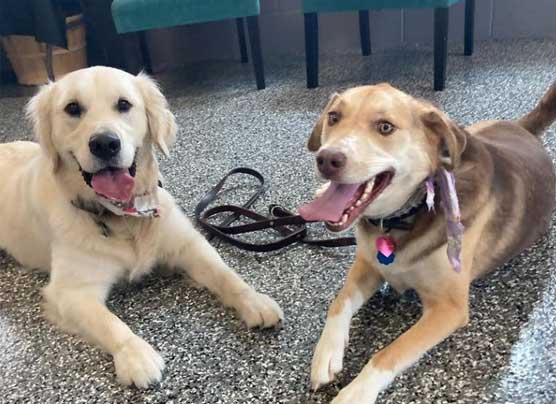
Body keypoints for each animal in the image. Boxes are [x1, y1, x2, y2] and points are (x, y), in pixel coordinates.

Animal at [300, 83, 556, 402]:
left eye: (385, 127)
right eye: (333, 117)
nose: (326, 159)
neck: (406, 213)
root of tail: (523, 129)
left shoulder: (449, 307)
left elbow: (390, 353)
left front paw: (354, 393)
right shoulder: (367, 263)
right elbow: (338, 303)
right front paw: (326, 354)